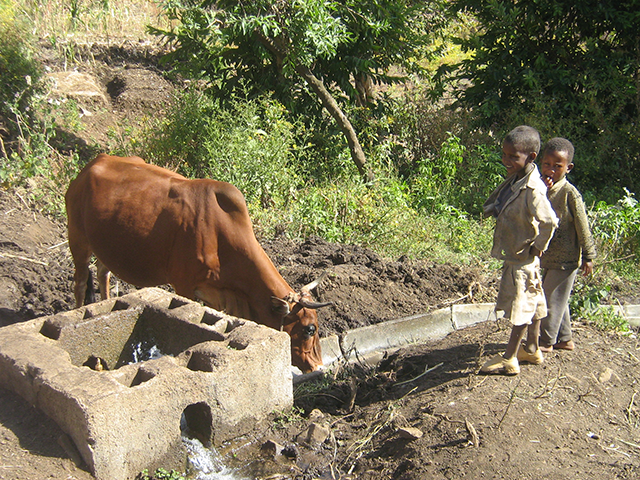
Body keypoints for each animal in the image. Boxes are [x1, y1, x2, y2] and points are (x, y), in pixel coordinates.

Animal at [65, 154, 330, 372]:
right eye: (309, 328)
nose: (318, 366)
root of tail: (91, 166)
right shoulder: (183, 285)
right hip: (77, 239)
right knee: (79, 283)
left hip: (102, 246)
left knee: (103, 274)